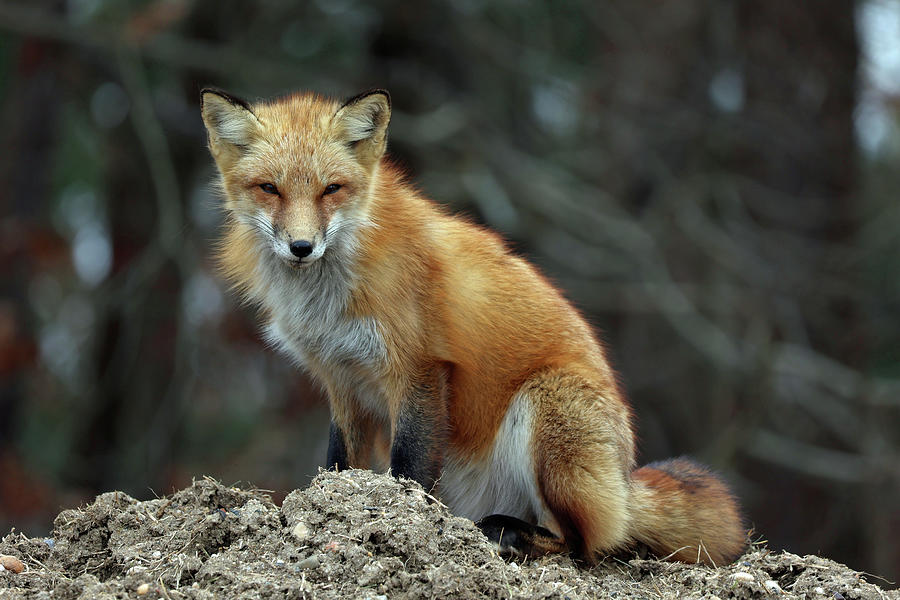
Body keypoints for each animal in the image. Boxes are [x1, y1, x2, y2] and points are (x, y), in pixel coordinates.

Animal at [200, 86, 748, 564]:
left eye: (331, 189)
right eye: (269, 189)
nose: (301, 247)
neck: (326, 298)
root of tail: (626, 475)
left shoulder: (418, 368)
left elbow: (409, 467)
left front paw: (404, 521)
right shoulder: (342, 379)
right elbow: (338, 464)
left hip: (548, 409)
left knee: (587, 544)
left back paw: (512, 535)